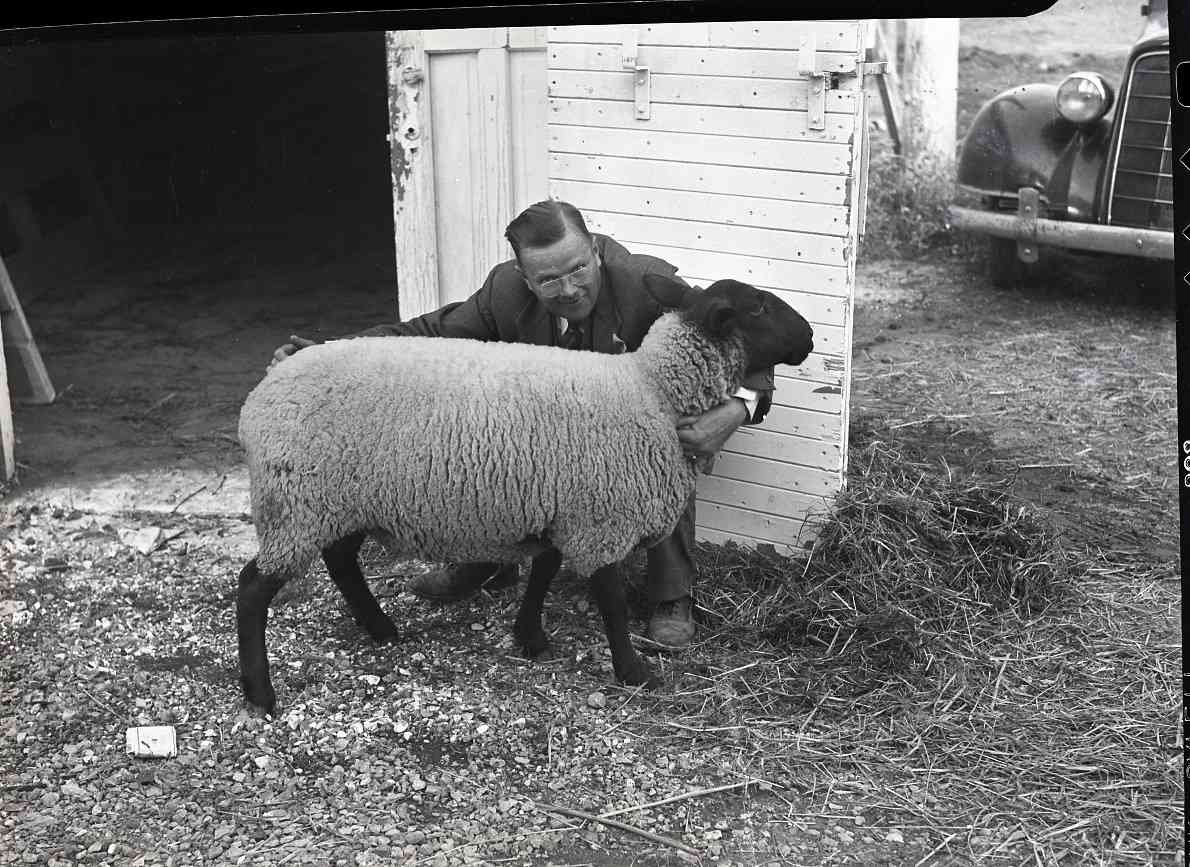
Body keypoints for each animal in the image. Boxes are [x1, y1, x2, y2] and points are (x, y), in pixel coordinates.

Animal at [239, 273, 818, 713]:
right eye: (760, 306)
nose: (811, 336)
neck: (650, 389)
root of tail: (261, 393)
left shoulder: (559, 503)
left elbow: (542, 571)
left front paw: (530, 638)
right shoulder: (601, 517)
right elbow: (610, 604)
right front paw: (634, 672)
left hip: (339, 500)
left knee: (340, 561)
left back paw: (381, 628)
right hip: (296, 502)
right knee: (253, 587)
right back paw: (260, 695)